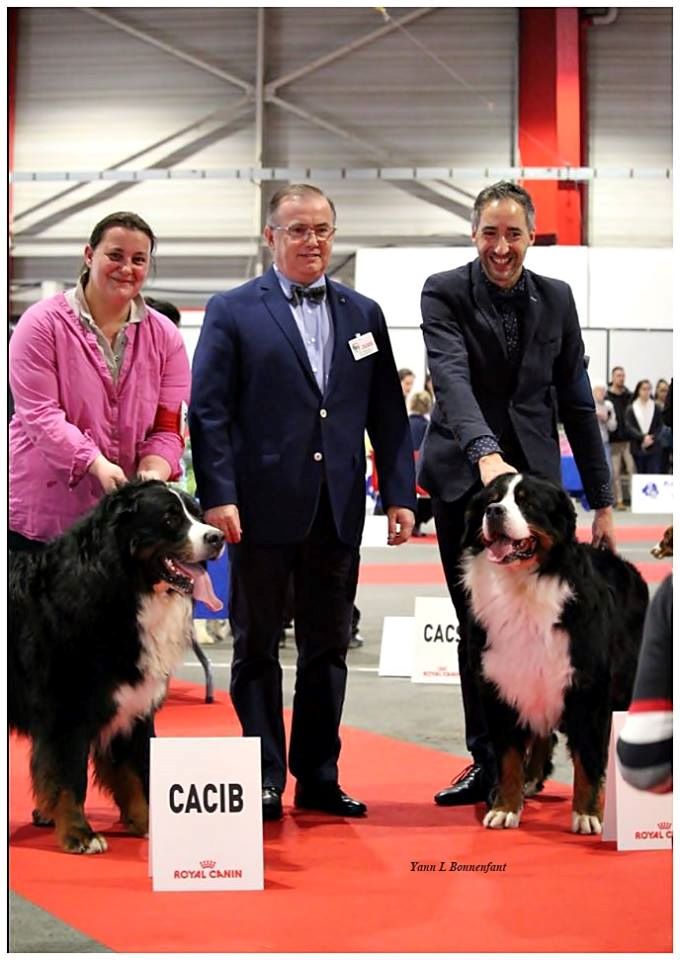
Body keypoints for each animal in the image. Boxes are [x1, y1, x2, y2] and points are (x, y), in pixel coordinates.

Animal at [7, 480, 224, 856]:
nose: (218, 537)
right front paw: (80, 834)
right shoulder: (66, 712)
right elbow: (70, 778)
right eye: (169, 518)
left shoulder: (133, 708)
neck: (121, 588)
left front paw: (150, 824)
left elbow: (136, 772)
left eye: (198, 514)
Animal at [462, 476, 648, 836]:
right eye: (491, 499)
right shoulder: (500, 683)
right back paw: (532, 778)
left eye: (527, 503)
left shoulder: (588, 688)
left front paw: (588, 814)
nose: (494, 512)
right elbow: (508, 757)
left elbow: (588, 759)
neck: (524, 584)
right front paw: (505, 808)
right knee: (541, 733)